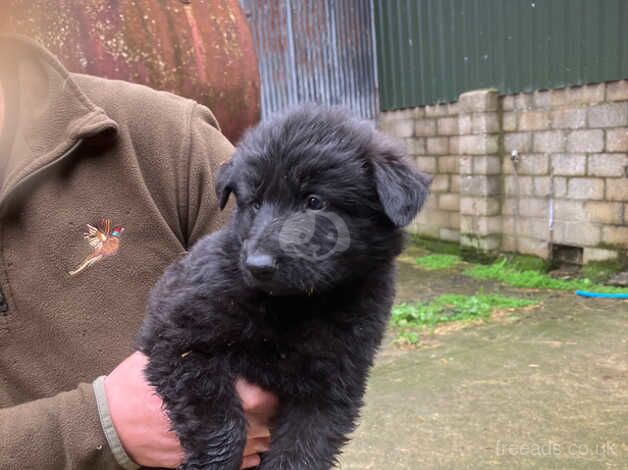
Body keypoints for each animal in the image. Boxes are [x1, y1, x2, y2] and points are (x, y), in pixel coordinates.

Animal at [138, 106, 432, 470]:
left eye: (315, 202)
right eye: (254, 203)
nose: (257, 265)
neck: (294, 305)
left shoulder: (330, 387)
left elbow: (300, 452)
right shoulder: (176, 335)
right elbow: (221, 422)